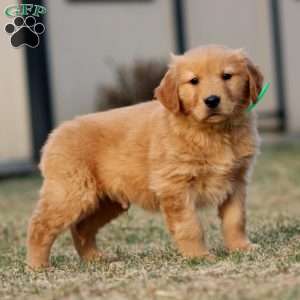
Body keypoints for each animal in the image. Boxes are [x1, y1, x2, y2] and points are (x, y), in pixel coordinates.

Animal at [27, 45, 264, 268]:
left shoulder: (235, 181)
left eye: (227, 76)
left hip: (107, 201)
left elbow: (235, 220)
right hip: (71, 193)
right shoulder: (175, 186)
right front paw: (198, 256)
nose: (212, 100)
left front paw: (241, 248)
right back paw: (38, 266)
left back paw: (96, 259)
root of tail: (55, 133)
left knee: (81, 228)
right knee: (40, 226)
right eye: (194, 81)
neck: (212, 133)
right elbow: (190, 226)